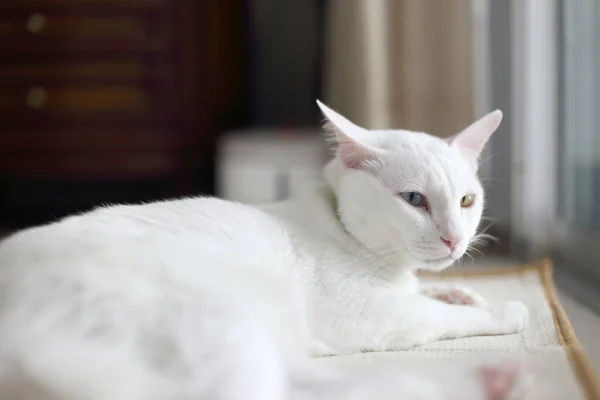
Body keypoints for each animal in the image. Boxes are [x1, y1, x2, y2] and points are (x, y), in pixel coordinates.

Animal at [0, 101, 528, 398]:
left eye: (467, 201)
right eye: (414, 200)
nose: (454, 238)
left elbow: (431, 294)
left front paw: (461, 292)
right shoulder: (367, 314)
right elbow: (439, 316)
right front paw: (502, 310)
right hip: (213, 325)